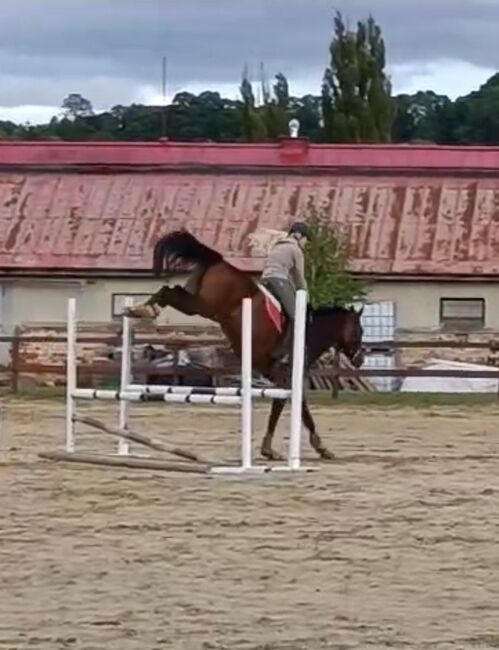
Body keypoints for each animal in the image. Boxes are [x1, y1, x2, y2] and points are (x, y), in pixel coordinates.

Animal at [126, 230, 364, 458]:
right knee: (171, 291)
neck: (310, 331)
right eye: (359, 331)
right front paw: (312, 447)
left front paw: (274, 449)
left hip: (195, 302)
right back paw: (146, 309)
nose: (360, 360)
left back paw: (140, 309)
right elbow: (294, 411)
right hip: (205, 305)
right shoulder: (287, 378)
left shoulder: (281, 380)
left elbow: (287, 409)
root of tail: (219, 260)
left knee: (170, 291)